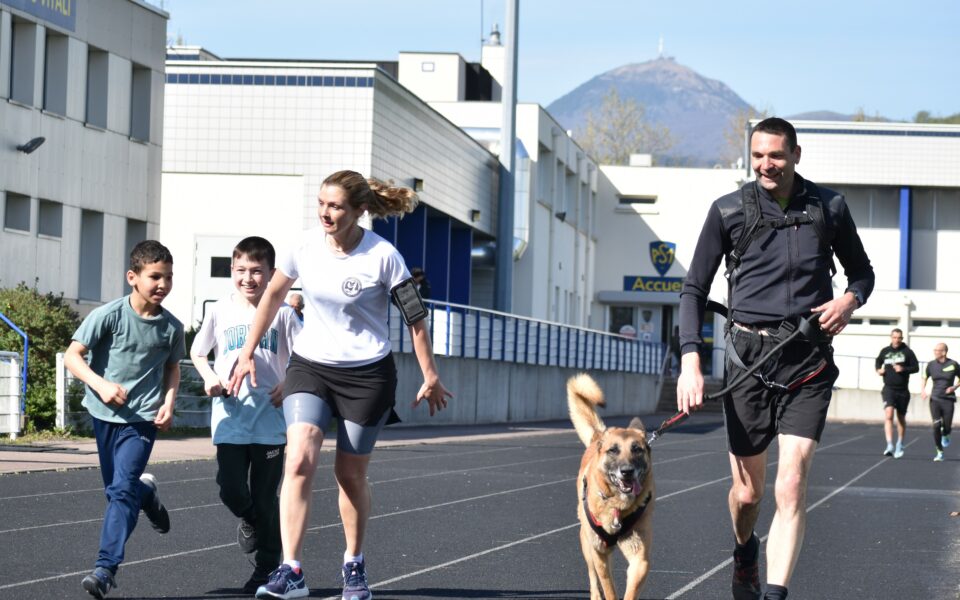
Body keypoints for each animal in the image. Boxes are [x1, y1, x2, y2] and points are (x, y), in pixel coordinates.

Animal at [568, 372, 656, 596]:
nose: (626, 471)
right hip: (587, 544)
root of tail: (598, 435)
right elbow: (608, 588)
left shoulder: (640, 558)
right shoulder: (599, 553)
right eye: (613, 450)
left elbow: (630, 591)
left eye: (637, 449)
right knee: (593, 579)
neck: (617, 506)